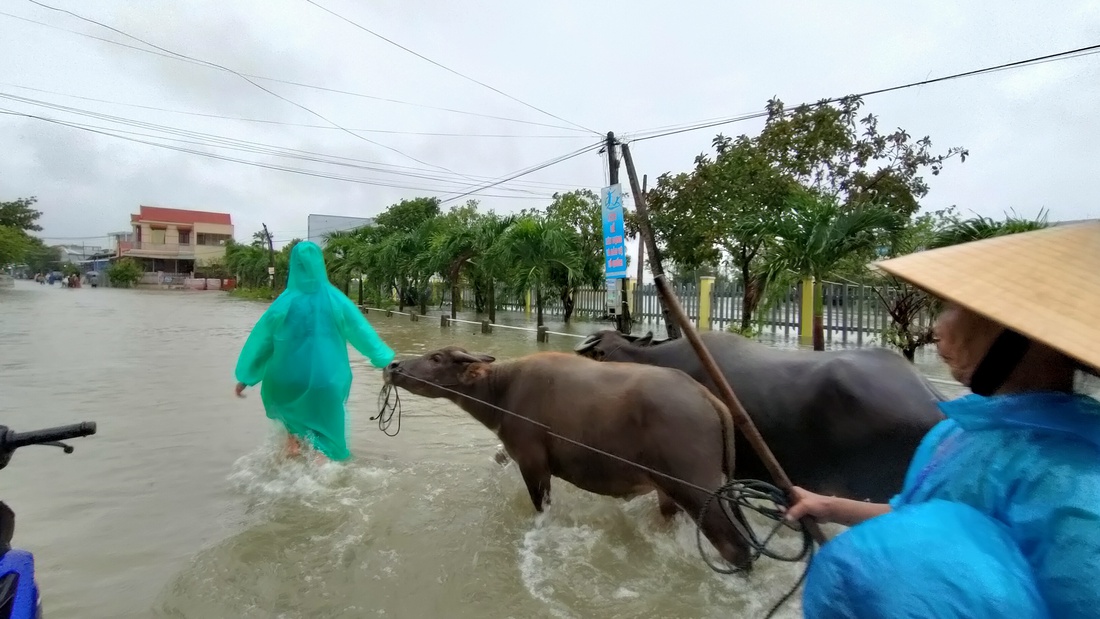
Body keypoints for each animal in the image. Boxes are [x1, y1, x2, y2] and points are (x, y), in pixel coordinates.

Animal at [382, 347, 752, 567]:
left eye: (436, 358)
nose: (394, 365)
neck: (503, 392)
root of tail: (709, 399)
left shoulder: (533, 465)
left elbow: (541, 508)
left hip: (696, 489)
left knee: (736, 546)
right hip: (669, 492)